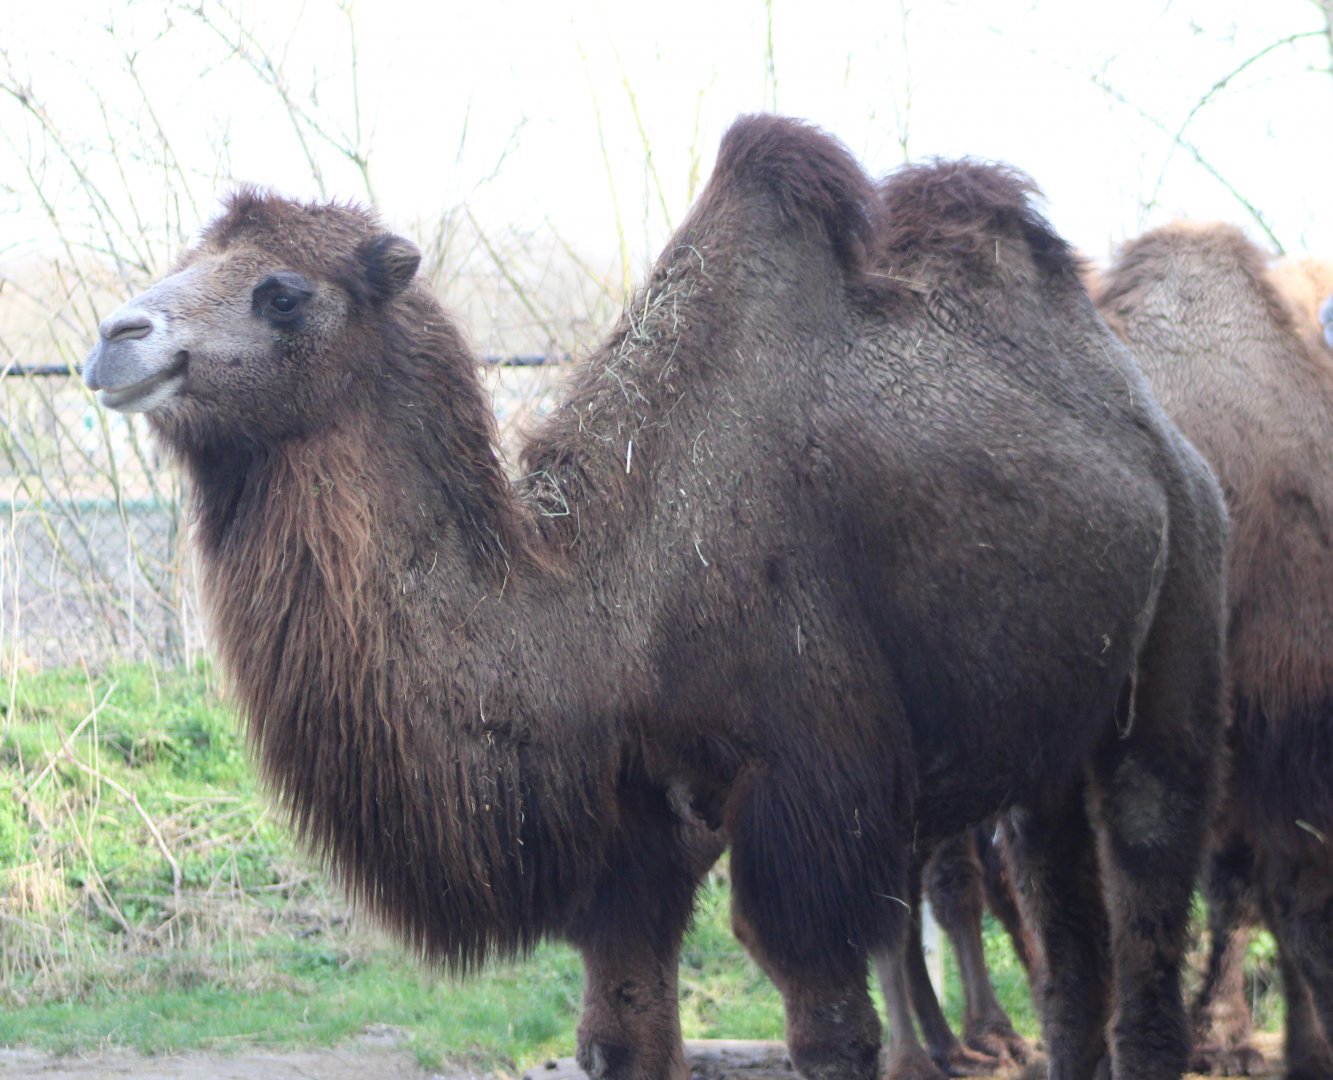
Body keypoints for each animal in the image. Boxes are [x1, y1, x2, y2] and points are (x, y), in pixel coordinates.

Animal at [83, 115, 1228, 1080]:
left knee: (1148, 880)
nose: (113, 339)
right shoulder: (628, 840)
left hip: (1179, 638)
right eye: (186, 262)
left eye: (282, 291)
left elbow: (829, 1032)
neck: (607, 610)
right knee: (1068, 950)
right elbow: (617, 1037)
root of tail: (1159, 439)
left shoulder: (812, 793)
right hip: (1046, 734)